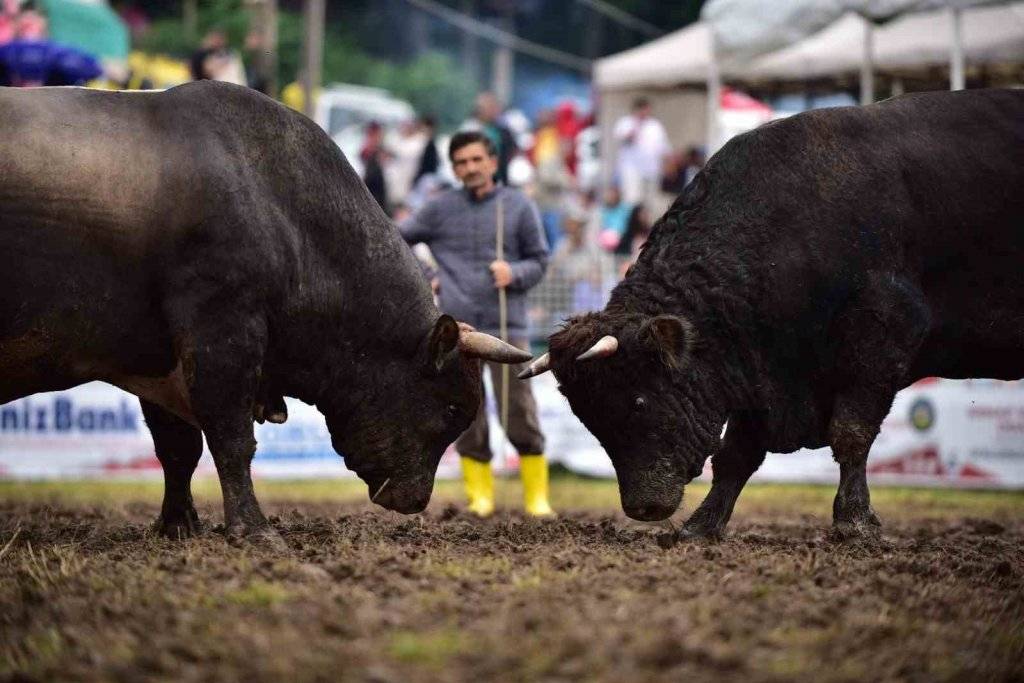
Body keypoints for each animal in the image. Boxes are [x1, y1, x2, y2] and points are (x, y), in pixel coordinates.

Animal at [0, 81, 528, 544]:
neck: (284, 213)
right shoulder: (220, 336)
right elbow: (231, 439)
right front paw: (252, 530)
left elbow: (178, 447)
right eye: (452, 408)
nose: (417, 501)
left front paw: (179, 526)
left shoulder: (161, 358)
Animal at [524, 89, 1024, 540]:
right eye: (590, 419)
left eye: (639, 400)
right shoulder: (754, 368)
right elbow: (737, 455)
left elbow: (851, 433)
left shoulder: (885, 333)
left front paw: (854, 522)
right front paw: (700, 526)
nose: (643, 508)